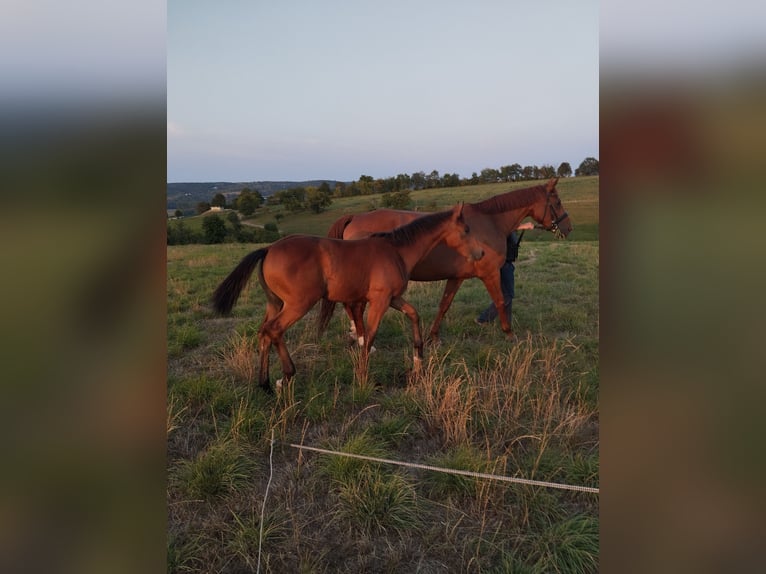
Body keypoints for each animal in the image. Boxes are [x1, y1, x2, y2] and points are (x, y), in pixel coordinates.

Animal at [213, 204, 484, 396]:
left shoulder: (392, 298)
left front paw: (418, 359)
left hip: (275, 303)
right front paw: (364, 377)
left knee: (263, 333)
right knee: (274, 330)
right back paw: (286, 376)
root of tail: (268, 249)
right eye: (466, 230)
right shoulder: (380, 300)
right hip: (298, 304)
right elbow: (370, 335)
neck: (396, 250)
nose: (480, 253)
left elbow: (413, 314)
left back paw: (266, 384)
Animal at [322, 179, 568, 342]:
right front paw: (509, 334)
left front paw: (433, 336)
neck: (490, 222)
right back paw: (362, 338)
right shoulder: (489, 274)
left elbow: (444, 305)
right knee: (353, 305)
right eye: (557, 201)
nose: (568, 227)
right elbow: (500, 301)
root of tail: (355, 217)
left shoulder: (456, 277)